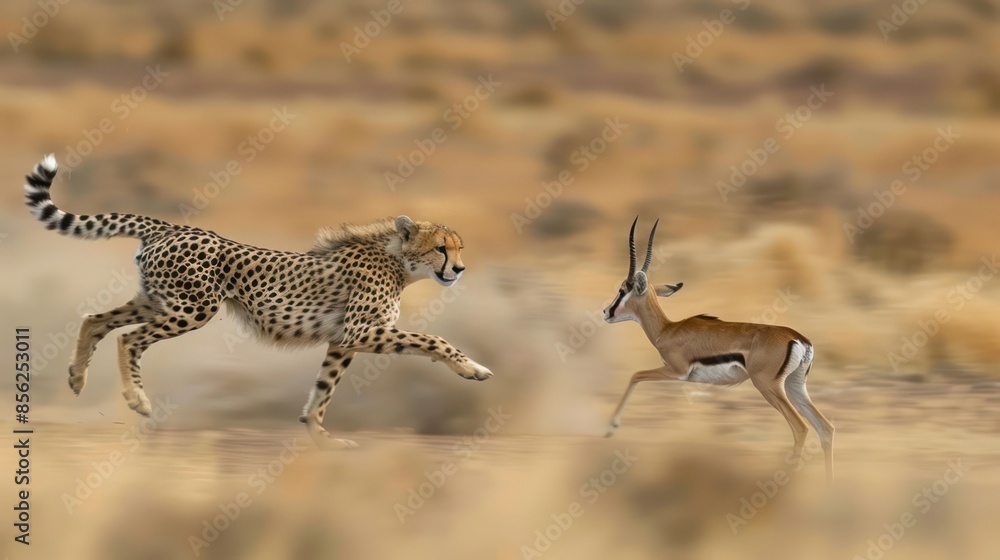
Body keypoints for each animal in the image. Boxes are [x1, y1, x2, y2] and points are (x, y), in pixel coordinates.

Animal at [602, 217, 835, 484]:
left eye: (622, 289)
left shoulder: (675, 372)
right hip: (794, 386)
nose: (606, 312)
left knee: (801, 428)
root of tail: (799, 339)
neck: (667, 329)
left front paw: (610, 427)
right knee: (825, 428)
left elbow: (635, 375)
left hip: (769, 387)